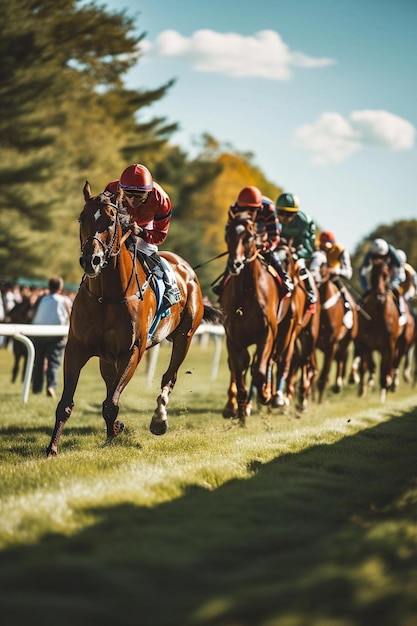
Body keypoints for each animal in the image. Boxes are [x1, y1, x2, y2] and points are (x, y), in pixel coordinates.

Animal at [46, 180, 223, 454]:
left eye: (110, 220)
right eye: (82, 217)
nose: (91, 260)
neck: (106, 296)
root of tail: (187, 269)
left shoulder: (132, 351)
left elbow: (111, 403)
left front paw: (113, 438)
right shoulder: (77, 347)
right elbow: (67, 403)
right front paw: (53, 448)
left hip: (184, 336)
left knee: (169, 377)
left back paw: (159, 419)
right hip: (107, 358)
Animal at [312, 249, 358, 400]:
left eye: (323, 263)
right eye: (310, 258)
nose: (312, 275)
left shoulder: (332, 343)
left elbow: (325, 372)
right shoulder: (315, 342)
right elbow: (315, 368)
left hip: (347, 339)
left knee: (342, 358)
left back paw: (338, 384)